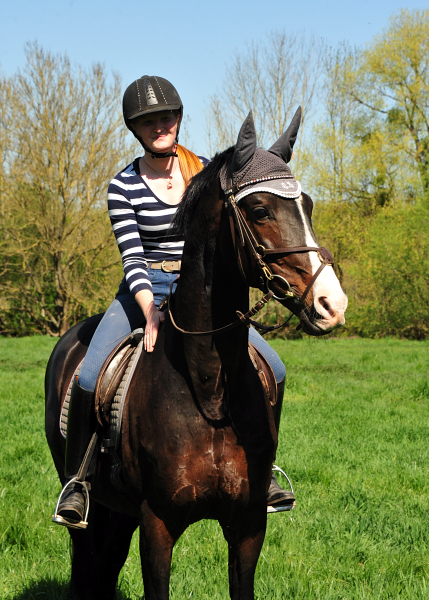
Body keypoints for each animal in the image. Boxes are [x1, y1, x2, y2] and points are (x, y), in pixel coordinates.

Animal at [46, 112, 348, 600]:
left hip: (120, 512)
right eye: (260, 211)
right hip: (88, 508)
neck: (208, 388)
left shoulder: (248, 526)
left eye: (308, 205)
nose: (331, 305)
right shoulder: (158, 525)